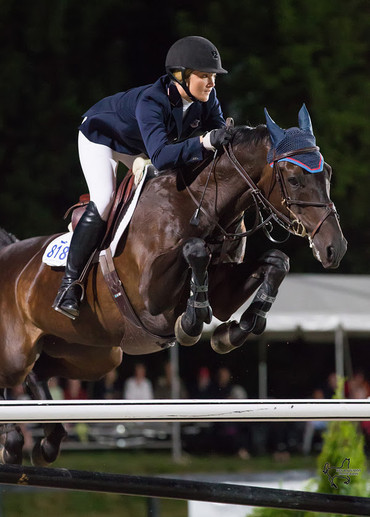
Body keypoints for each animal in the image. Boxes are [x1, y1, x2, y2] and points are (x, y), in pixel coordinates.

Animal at [0, 105, 346, 464]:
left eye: (328, 173)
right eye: (293, 179)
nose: (334, 248)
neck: (199, 205)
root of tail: (9, 250)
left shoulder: (225, 292)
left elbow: (277, 262)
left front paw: (234, 330)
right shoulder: (149, 300)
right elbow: (194, 250)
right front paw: (193, 321)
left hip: (92, 354)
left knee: (38, 372)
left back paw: (49, 441)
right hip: (18, 349)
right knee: (12, 378)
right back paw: (13, 441)